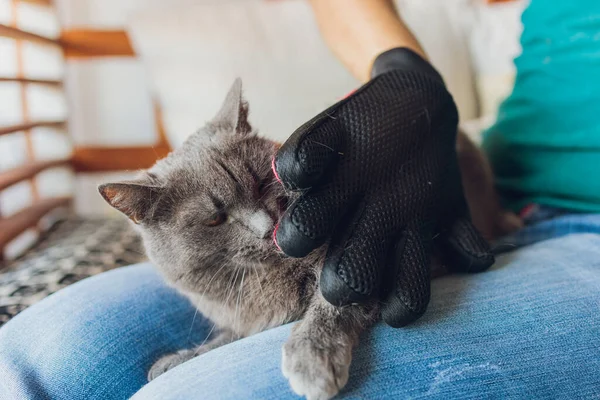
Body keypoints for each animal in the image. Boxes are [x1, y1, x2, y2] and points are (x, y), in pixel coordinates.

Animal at [101, 79, 378, 400]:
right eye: (214, 219)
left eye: (261, 182)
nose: (267, 227)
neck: (260, 279)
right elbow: (227, 338)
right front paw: (181, 358)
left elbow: (332, 300)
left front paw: (312, 356)